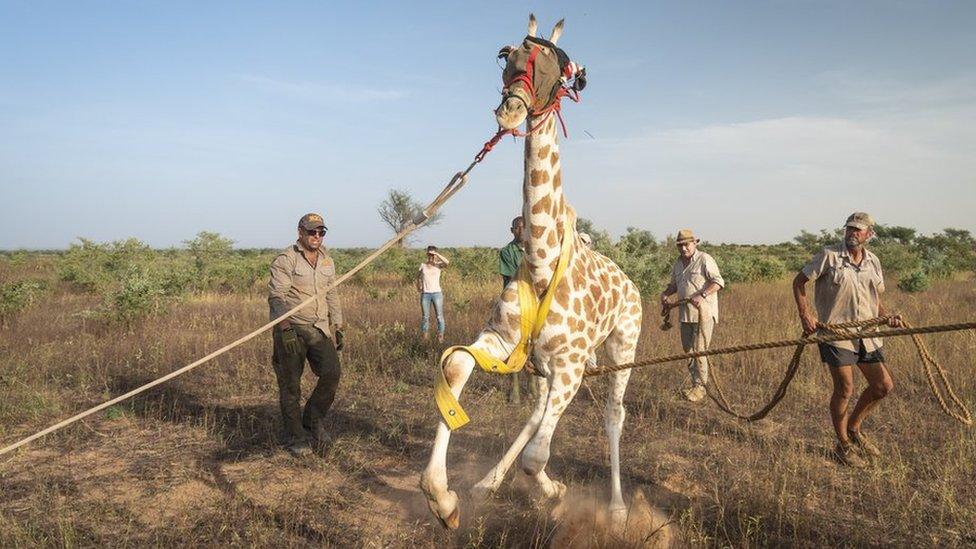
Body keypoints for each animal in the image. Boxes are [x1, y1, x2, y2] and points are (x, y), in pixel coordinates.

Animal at [418, 16, 640, 532]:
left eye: (555, 65)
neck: (541, 259)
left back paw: (617, 508)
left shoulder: (573, 363)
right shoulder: (504, 339)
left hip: (623, 345)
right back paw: (486, 483)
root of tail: (632, 283)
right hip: (543, 365)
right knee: (538, 410)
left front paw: (555, 492)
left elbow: (537, 457)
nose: (511, 111)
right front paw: (443, 497)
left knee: (614, 414)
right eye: (506, 56)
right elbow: (455, 367)